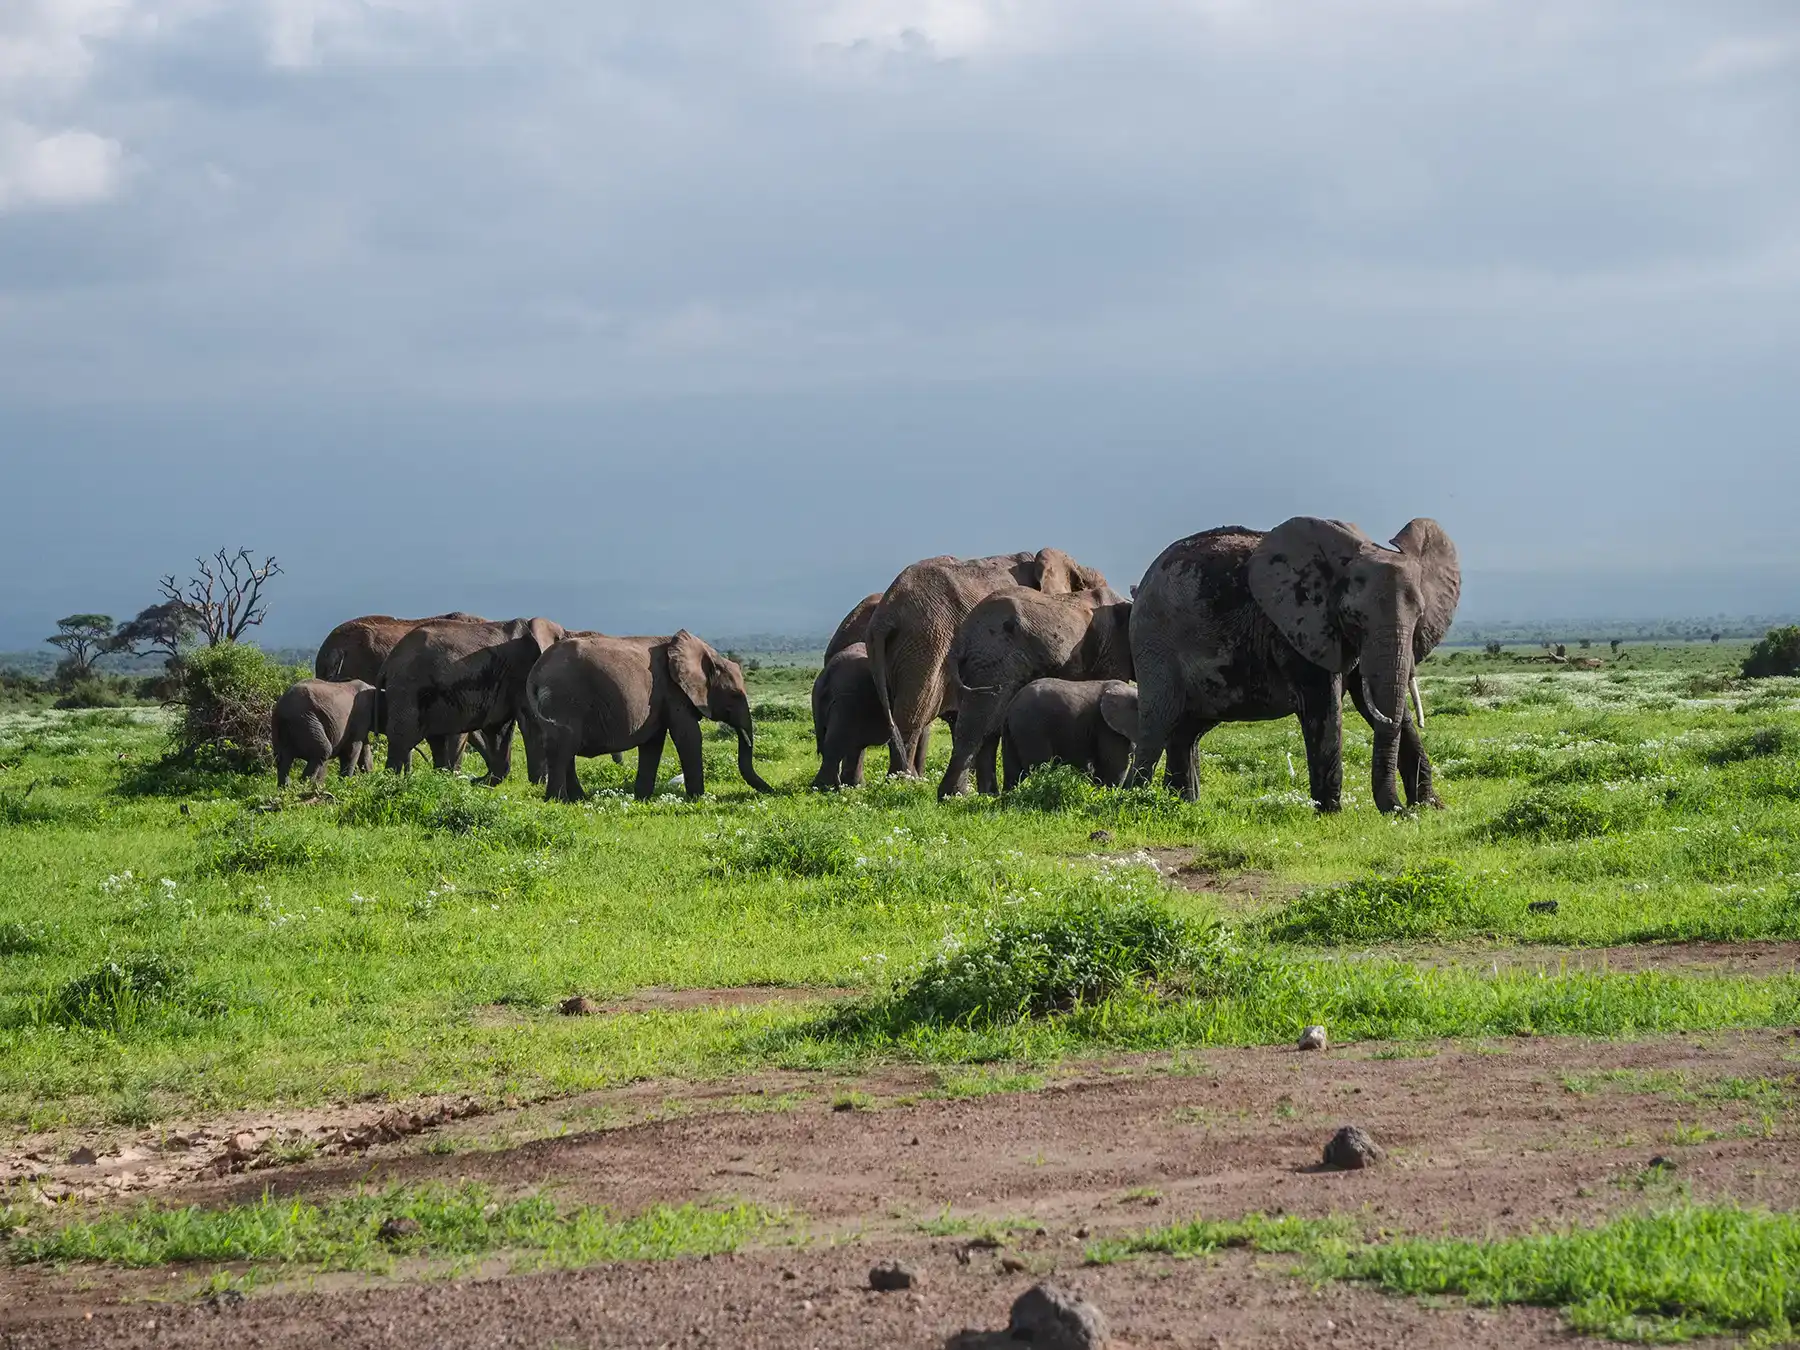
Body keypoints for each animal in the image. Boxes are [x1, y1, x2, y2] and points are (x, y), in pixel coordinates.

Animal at [380, 617, 566, 783]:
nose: (476, 779)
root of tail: (388, 663)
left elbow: (499, 729)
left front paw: (485, 782)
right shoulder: (522, 673)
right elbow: (530, 721)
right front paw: (540, 783)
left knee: (433, 740)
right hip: (407, 689)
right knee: (402, 741)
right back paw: (391, 781)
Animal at [527, 631, 776, 802]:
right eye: (734, 695)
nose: (772, 791)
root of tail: (535, 673)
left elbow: (653, 743)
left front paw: (642, 799)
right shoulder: (674, 692)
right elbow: (688, 736)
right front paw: (698, 800)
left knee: (565, 747)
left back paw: (578, 799)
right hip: (565, 698)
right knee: (562, 746)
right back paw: (558, 801)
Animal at [1001, 679, 1139, 791]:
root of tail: (1010, 706)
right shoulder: (1107, 727)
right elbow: (1114, 764)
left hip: (1014, 731)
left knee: (1012, 772)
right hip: (1031, 728)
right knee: (1039, 766)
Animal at [1127, 517, 1460, 813]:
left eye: (1420, 616)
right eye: (1353, 617)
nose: (1399, 810)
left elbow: (1377, 703)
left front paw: (1431, 807)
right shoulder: (1298, 630)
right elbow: (1325, 708)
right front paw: (1329, 812)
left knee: (1187, 731)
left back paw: (1183, 803)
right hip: (1154, 641)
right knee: (1157, 724)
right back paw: (1133, 800)